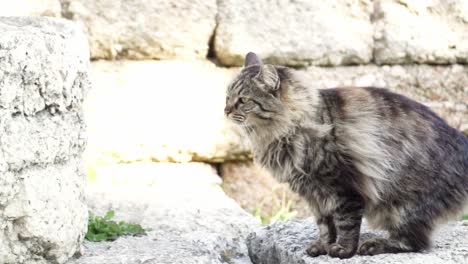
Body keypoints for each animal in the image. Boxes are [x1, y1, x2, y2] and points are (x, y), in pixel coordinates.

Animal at [224, 51, 468, 258]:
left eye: (243, 100)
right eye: (227, 97)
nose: (225, 111)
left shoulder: (342, 186)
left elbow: (346, 223)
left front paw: (343, 249)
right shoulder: (314, 194)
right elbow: (325, 225)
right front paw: (323, 246)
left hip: (405, 205)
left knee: (413, 242)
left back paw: (373, 246)